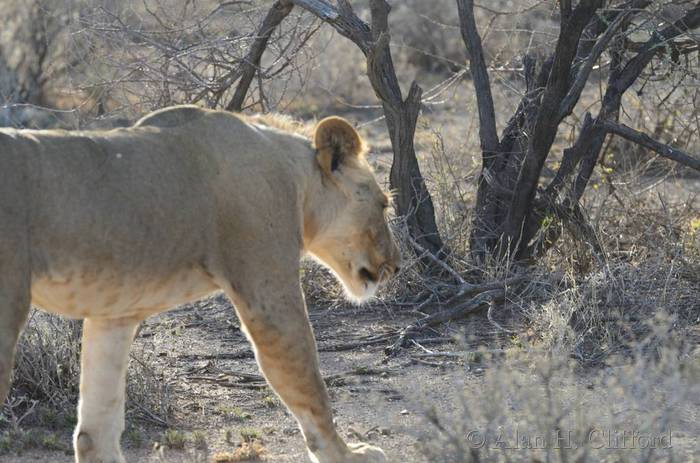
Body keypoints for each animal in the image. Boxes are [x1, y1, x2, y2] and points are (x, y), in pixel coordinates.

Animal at [0, 105, 401, 463]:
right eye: (383, 205)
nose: (396, 267)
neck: (294, 177)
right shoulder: (267, 294)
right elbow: (309, 386)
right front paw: (347, 454)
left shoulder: (115, 313)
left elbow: (97, 427)